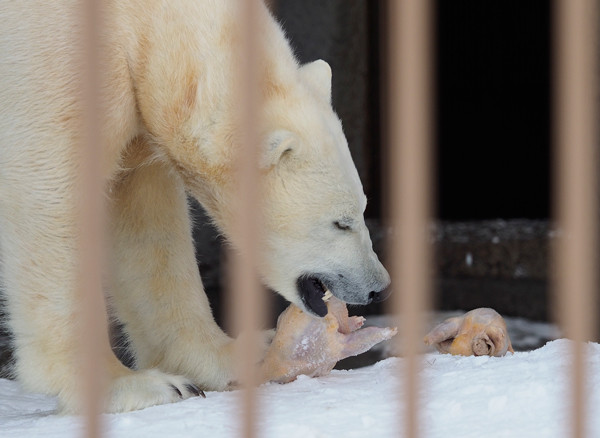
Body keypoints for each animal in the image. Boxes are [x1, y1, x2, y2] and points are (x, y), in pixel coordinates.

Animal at [0, 0, 390, 412]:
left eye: (363, 208)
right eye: (341, 222)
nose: (378, 288)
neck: (143, 21)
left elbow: (147, 227)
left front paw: (230, 356)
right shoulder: (55, 59)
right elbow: (50, 194)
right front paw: (134, 386)